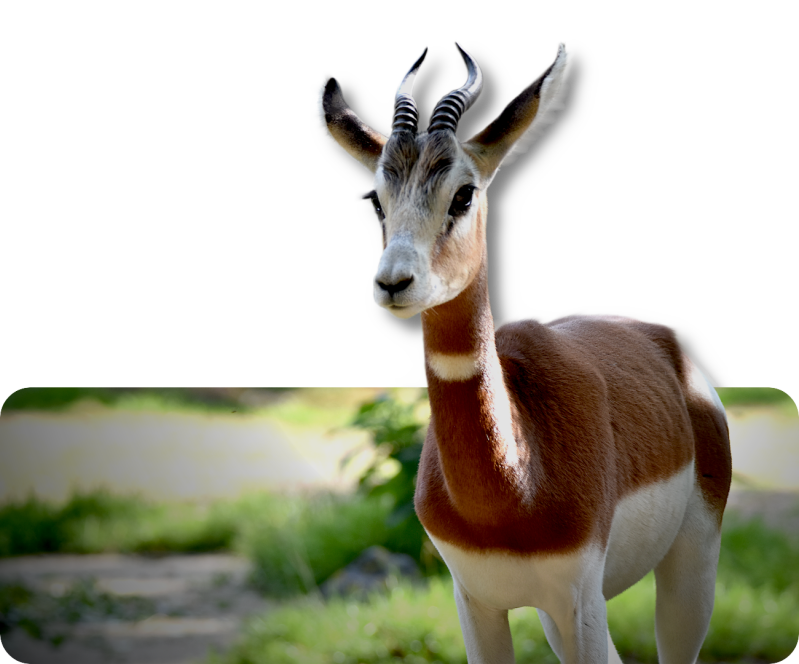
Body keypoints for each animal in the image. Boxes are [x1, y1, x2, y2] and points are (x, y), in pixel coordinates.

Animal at [311, 40, 732, 664]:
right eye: (374, 199)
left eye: (463, 193)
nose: (393, 283)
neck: (512, 484)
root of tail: (663, 341)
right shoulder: (476, 602)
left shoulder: (580, 601)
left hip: (689, 568)